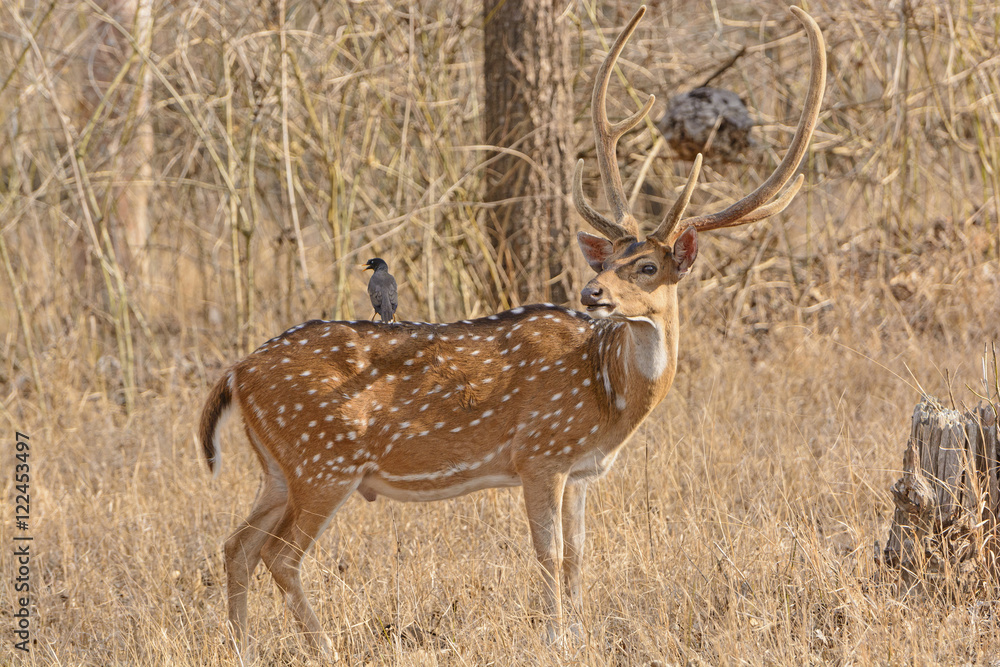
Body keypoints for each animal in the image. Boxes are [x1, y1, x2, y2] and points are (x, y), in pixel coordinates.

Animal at [198, 5, 825, 655]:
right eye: (608, 260)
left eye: (648, 266)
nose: (592, 292)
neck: (608, 395)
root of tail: (236, 373)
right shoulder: (539, 453)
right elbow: (548, 554)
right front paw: (556, 638)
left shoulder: (579, 470)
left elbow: (578, 555)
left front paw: (580, 632)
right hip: (324, 460)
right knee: (279, 554)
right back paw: (323, 647)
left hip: (279, 468)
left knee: (236, 545)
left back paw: (243, 645)